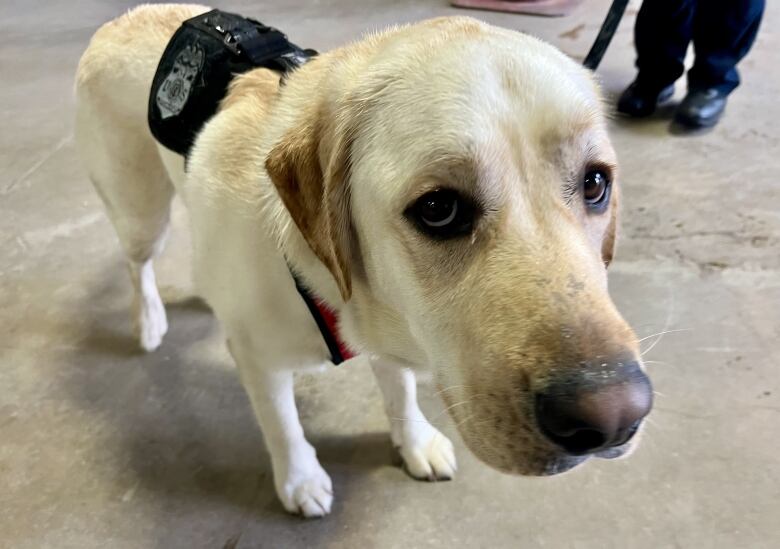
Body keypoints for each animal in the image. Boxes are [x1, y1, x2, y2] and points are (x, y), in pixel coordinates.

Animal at [77, 4, 652, 520]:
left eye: (595, 183)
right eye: (438, 209)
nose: (615, 419)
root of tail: (122, 18)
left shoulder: (393, 328)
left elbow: (400, 392)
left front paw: (414, 442)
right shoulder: (258, 359)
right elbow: (282, 423)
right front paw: (300, 479)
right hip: (140, 214)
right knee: (136, 264)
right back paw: (150, 321)